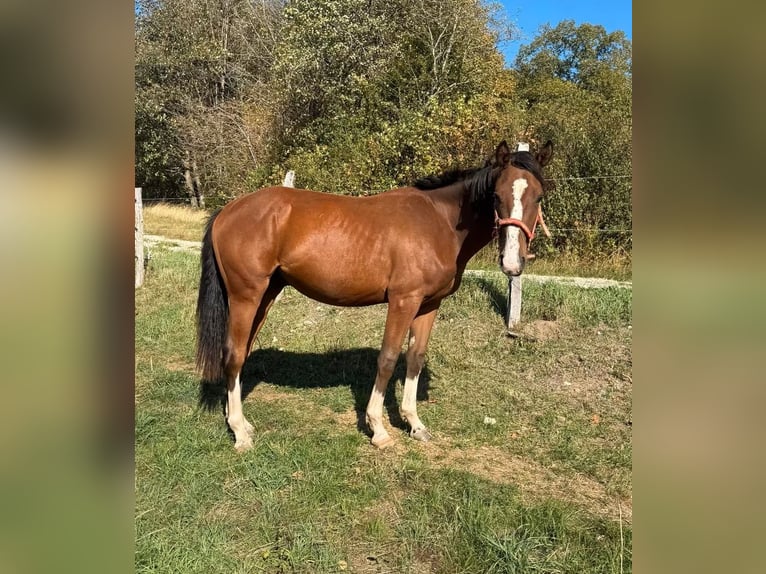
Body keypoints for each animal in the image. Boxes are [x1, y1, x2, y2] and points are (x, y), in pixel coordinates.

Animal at [196, 140, 553, 451]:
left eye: (538, 197)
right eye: (496, 195)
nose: (512, 263)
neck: (440, 221)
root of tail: (229, 209)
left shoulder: (429, 304)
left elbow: (415, 358)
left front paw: (414, 424)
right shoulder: (403, 301)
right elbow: (388, 359)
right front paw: (378, 429)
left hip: (266, 294)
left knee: (241, 352)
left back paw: (238, 420)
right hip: (246, 295)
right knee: (234, 353)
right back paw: (240, 433)